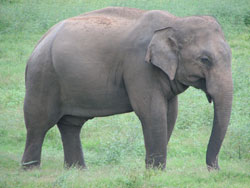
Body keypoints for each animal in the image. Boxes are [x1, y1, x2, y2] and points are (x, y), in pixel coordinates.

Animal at [21, 6, 232, 170]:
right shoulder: (139, 67)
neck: (175, 22)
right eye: (205, 60)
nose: (214, 169)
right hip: (43, 76)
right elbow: (152, 112)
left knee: (71, 125)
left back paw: (77, 171)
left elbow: (170, 113)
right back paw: (31, 170)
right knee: (39, 123)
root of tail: (40, 41)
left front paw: (154, 171)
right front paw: (155, 172)